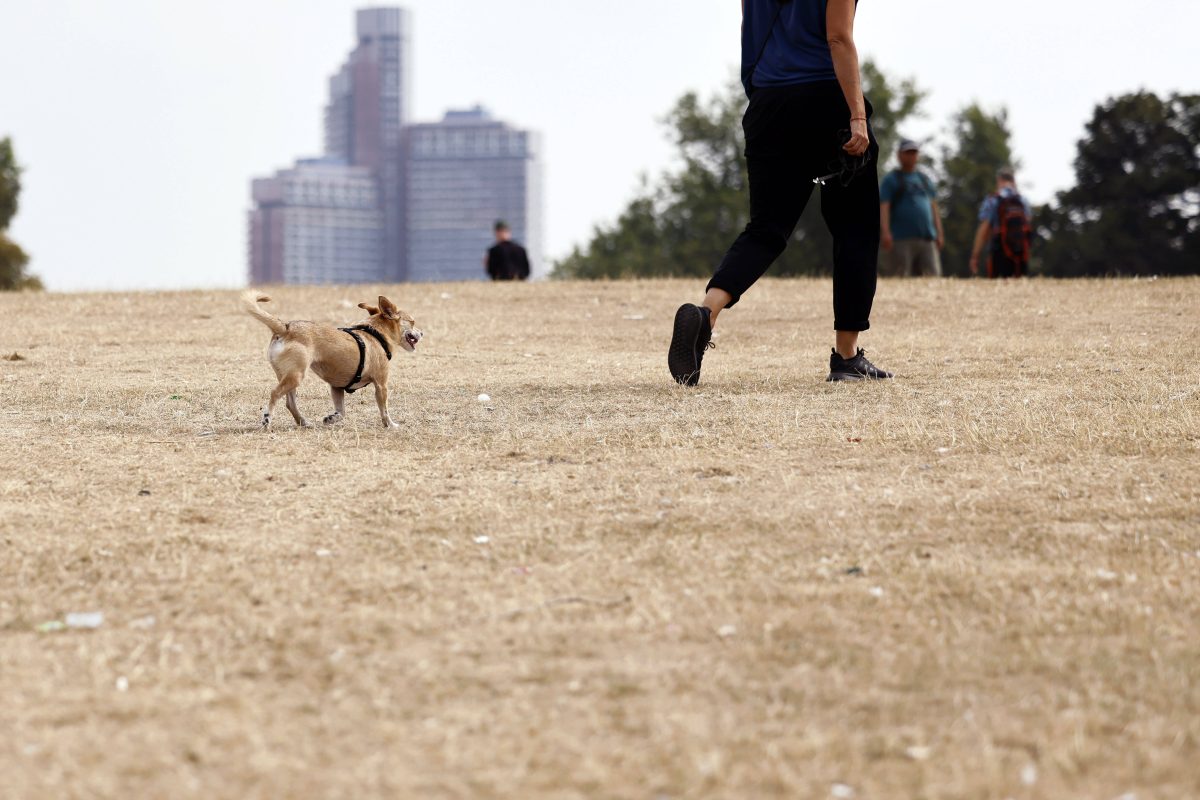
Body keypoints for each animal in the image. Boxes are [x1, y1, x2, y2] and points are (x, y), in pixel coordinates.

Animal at [241, 292, 424, 431]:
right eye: (412, 322)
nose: (422, 333)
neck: (376, 333)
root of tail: (285, 327)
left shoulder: (336, 387)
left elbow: (341, 412)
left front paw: (331, 418)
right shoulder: (381, 385)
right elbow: (384, 410)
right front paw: (391, 425)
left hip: (289, 376)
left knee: (289, 402)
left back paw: (304, 422)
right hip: (296, 375)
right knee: (274, 393)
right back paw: (267, 420)